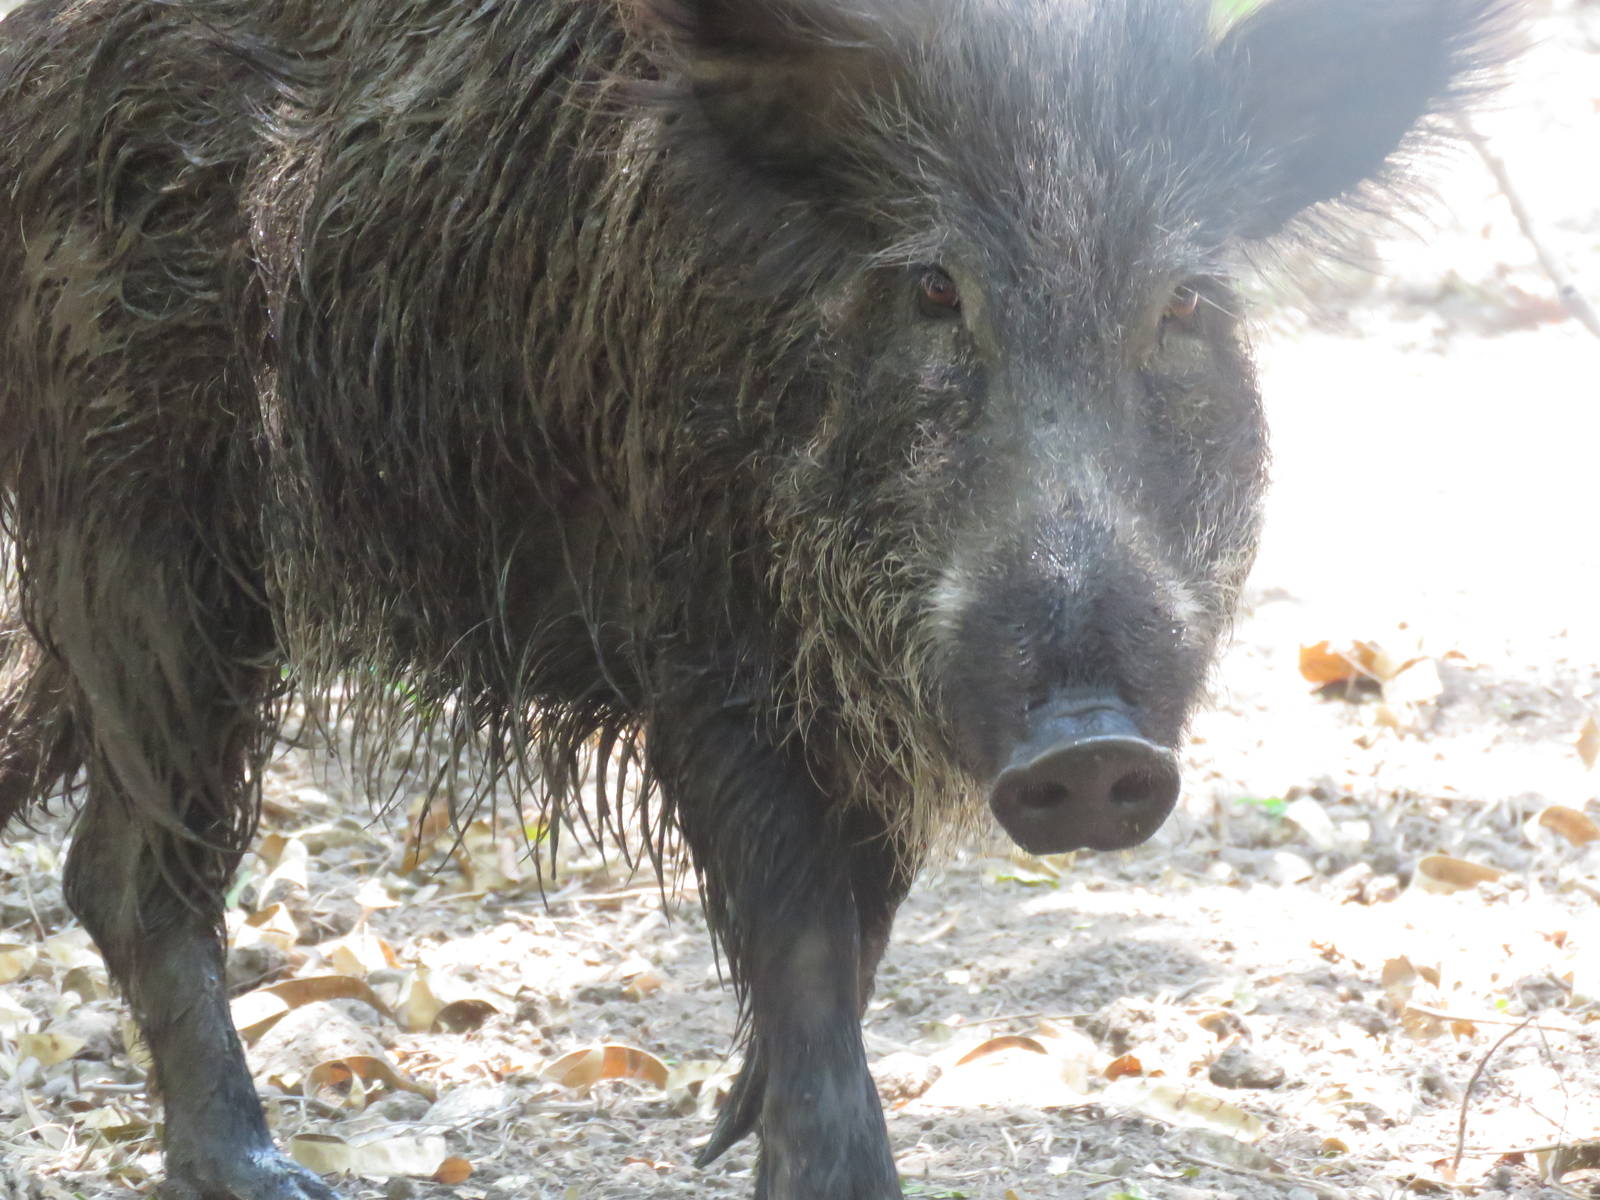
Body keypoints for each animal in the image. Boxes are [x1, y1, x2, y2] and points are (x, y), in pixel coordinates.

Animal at [0, 0, 1509, 1196]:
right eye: (932, 286)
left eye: (1185, 302)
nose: (1090, 749)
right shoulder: (699, 641)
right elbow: (798, 941)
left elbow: (858, 936)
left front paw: (729, 1130)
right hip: (143, 527)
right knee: (126, 871)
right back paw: (274, 1180)